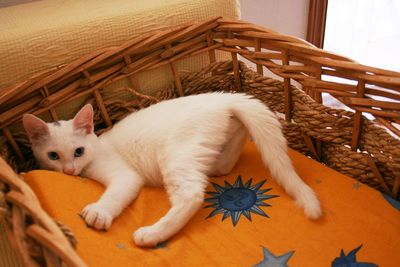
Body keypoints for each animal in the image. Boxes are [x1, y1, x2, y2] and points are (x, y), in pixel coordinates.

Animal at [21, 93, 324, 248]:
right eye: (53, 156)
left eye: (78, 152)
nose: (69, 171)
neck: (97, 146)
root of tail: (223, 98)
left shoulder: (125, 176)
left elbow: (115, 195)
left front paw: (99, 212)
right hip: (209, 148)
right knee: (227, 154)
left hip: (176, 156)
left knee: (192, 195)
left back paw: (152, 235)